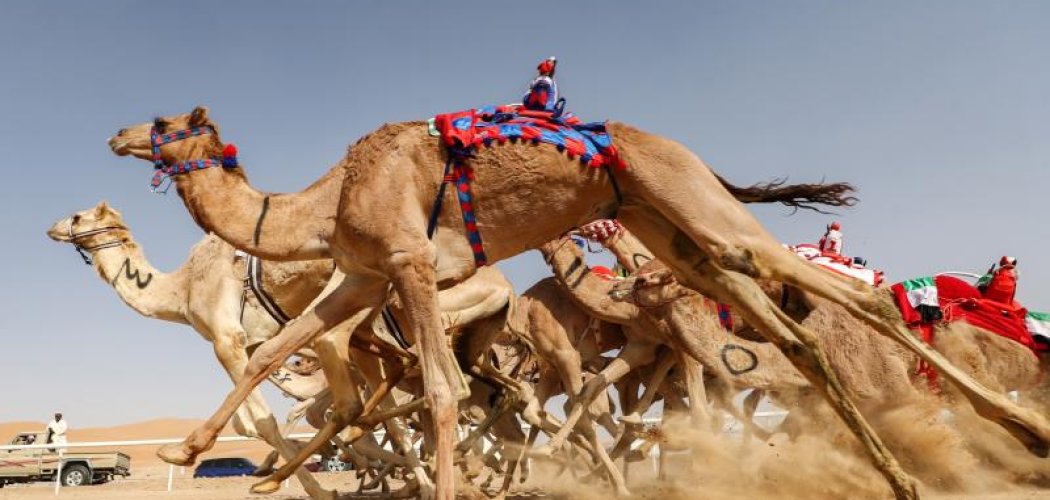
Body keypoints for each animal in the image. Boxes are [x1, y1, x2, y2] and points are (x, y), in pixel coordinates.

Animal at [106, 105, 1050, 500]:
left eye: (167, 126)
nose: (115, 134)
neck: (322, 198)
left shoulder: (408, 264)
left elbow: (443, 392)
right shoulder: (369, 277)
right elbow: (274, 350)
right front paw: (194, 452)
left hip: (689, 201)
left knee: (840, 298)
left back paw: (1018, 435)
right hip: (670, 233)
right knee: (791, 331)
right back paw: (904, 475)